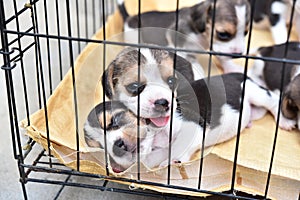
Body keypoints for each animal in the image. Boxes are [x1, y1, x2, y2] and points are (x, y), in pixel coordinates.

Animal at [117, 0, 251, 74]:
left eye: (245, 33)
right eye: (222, 34)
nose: (238, 55)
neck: (202, 35)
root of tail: (129, 18)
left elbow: (222, 57)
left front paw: (231, 67)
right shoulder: (175, 38)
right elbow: (185, 56)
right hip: (134, 35)